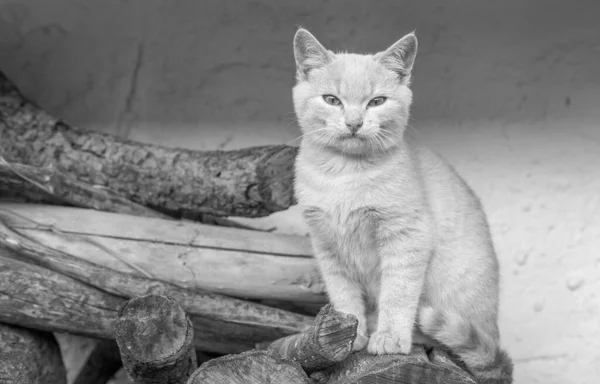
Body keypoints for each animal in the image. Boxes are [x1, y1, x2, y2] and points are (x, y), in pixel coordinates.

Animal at [290, 27, 510, 384]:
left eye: (377, 101)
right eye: (332, 100)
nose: (354, 122)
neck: (344, 175)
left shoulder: (407, 236)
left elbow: (397, 292)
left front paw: (389, 336)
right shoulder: (326, 245)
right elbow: (343, 296)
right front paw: (352, 336)